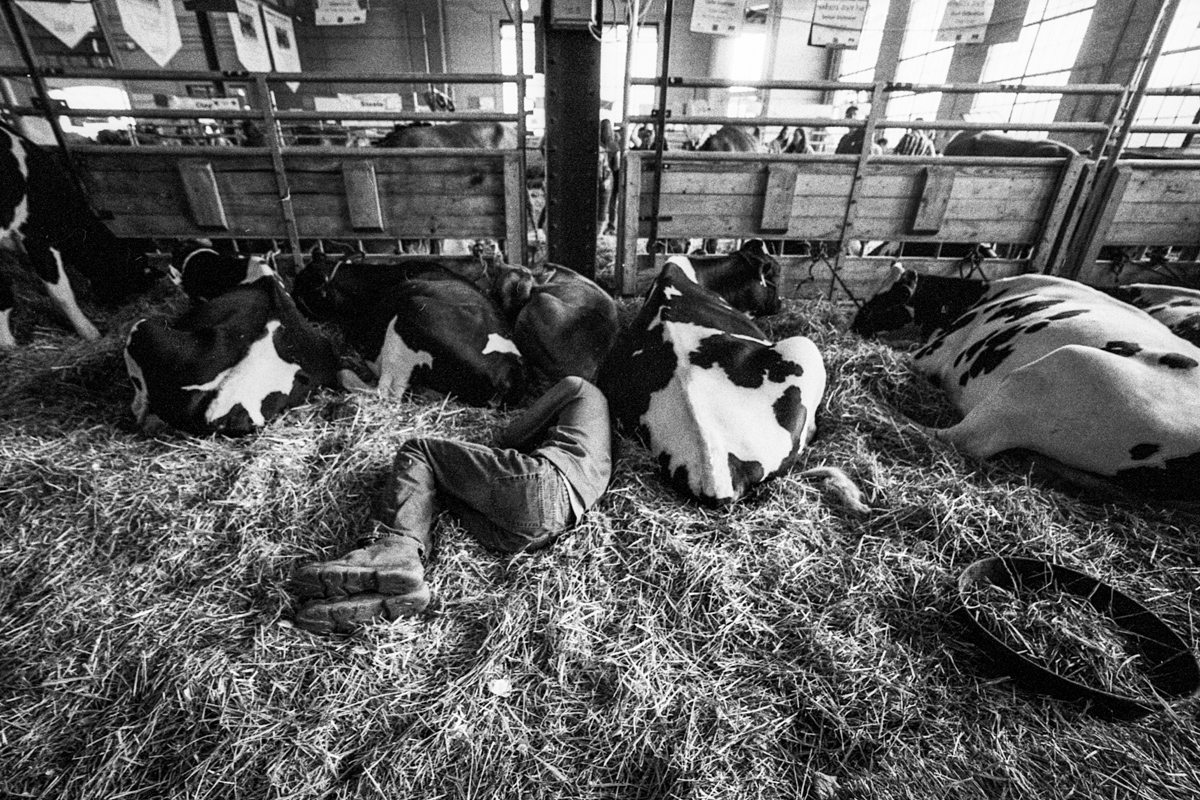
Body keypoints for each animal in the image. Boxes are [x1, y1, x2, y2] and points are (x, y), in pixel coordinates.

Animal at [849, 263, 1200, 501]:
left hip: (1060, 368)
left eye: (876, 303)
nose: (853, 327)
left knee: (959, 438)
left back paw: (879, 409)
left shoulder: (935, 351)